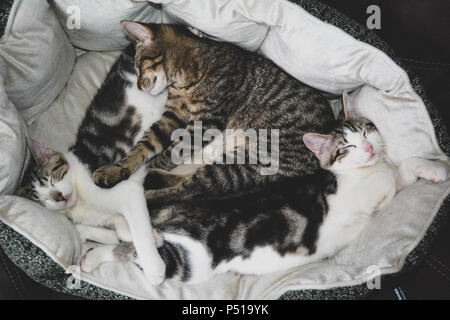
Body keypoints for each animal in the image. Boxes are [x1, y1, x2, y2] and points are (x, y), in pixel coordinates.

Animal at [80, 116, 446, 282]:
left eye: (368, 131)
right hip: (191, 260)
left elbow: (404, 169)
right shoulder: (374, 194)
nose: (369, 148)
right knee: (147, 258)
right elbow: (395, 182)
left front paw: (433, 172)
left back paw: (92, 253)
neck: (364, 171)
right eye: (348, 147)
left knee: (125, 241)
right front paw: (432, 171)